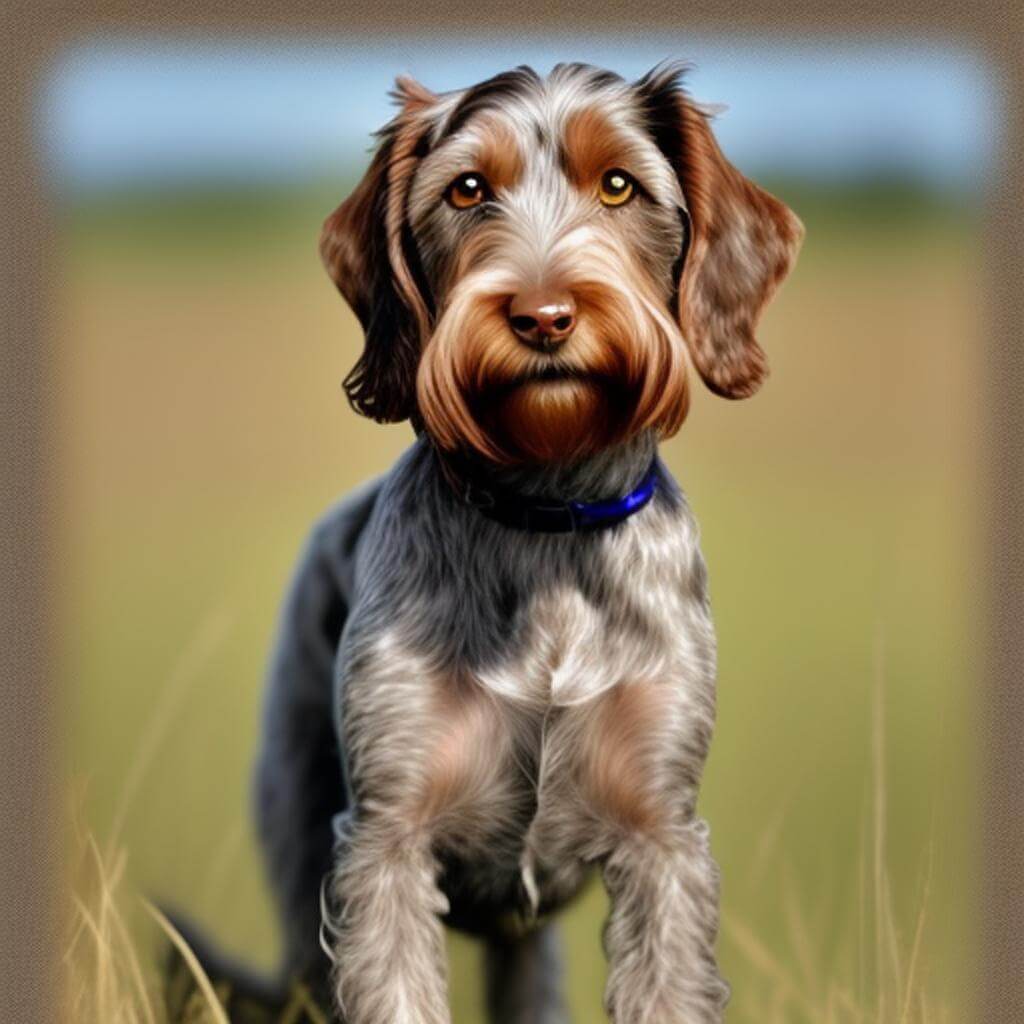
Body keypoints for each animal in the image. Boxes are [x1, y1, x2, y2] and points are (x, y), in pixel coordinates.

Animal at [237, 59, 798, 1019]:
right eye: (467, 190)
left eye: (619, 185)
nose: (543, 316)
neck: (547, 517)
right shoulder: (383, 841)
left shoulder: (662, 835)